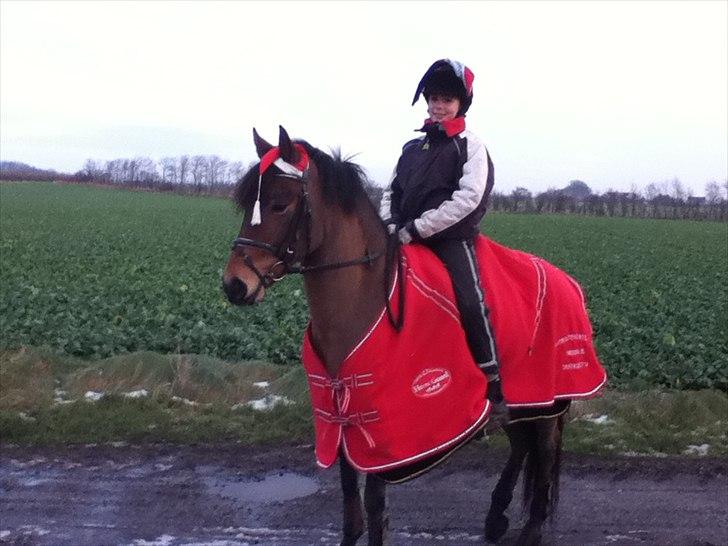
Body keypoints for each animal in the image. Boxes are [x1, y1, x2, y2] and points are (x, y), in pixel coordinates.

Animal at [223, 126, 579, 546]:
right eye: (248, 203)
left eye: (279, 204)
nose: (234, 285)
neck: (364, 299)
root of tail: (567, 280)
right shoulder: (343, 416)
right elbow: (350, 500)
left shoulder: (383, 433)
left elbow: (375, 508)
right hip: (522, 403)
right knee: (522, 446)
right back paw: (496, 519)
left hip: (548, 402)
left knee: (544, 454)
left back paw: (531, 528)